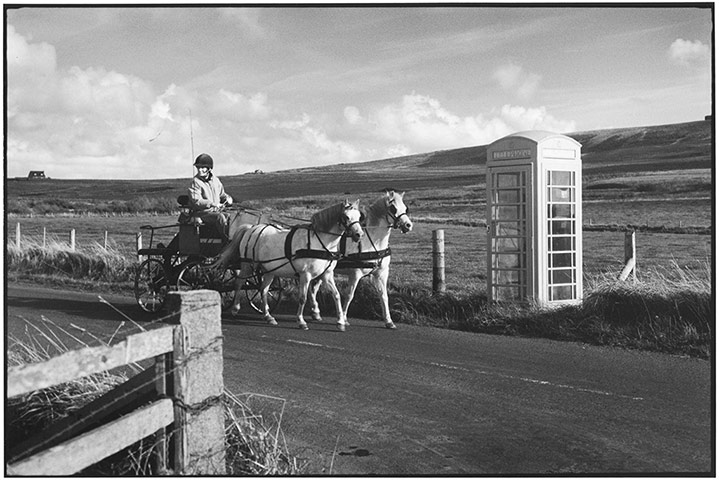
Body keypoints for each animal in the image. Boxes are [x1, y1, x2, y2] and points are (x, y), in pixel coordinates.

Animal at [214, 199, 362, 330]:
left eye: (359, 216)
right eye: (346, 217)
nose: (359, 234)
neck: (319, 242)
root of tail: (251, 228)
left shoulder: (327, 274)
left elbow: (336, 295)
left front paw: (341, 322)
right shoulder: (305, 275)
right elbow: (302, 298)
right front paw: (301, 321)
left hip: (269, 270)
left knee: (263, 289)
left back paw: (268, 316)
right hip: (248, 265)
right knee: (239, 283)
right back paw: (235, 308)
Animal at [308, 191, 414, 330]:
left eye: (406, 208)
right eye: (393, 208)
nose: (408, 225)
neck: (373, 242)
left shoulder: (382, 273)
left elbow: (384, 296)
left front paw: (389, 321)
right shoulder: (355, 274)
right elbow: (349, 295)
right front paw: (344, 319)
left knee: (314, 288)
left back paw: (315, 312)